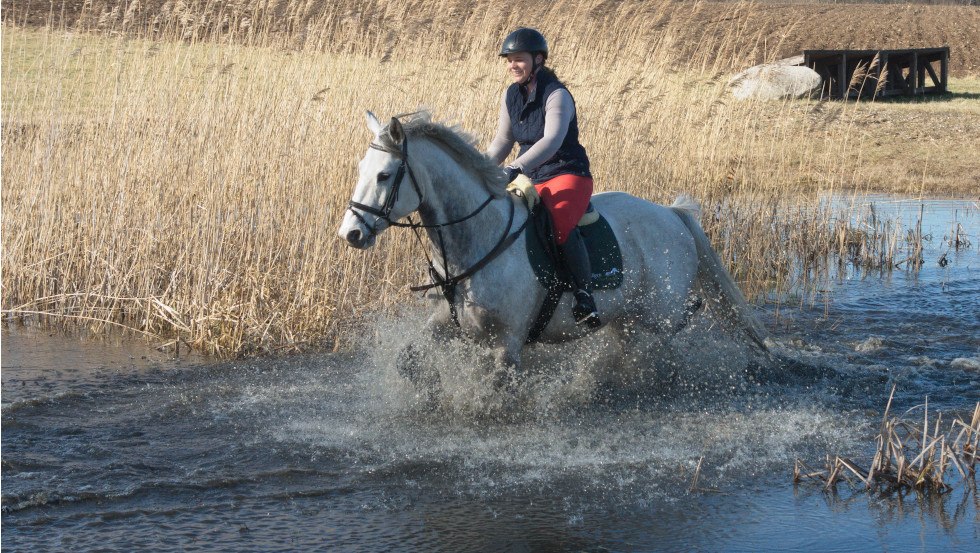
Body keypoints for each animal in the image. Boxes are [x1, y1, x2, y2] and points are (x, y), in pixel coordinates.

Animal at [340, 110, 768, 392]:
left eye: (384, 175)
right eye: (361, 168)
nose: (351, 233)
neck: (476, 240)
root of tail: (672, 214)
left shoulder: (508, 344)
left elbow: (497, 388)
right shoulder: (449, 325)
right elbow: (408, 361)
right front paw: (428, 392)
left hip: (656, 314)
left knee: (668, 341)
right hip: (627, 318)